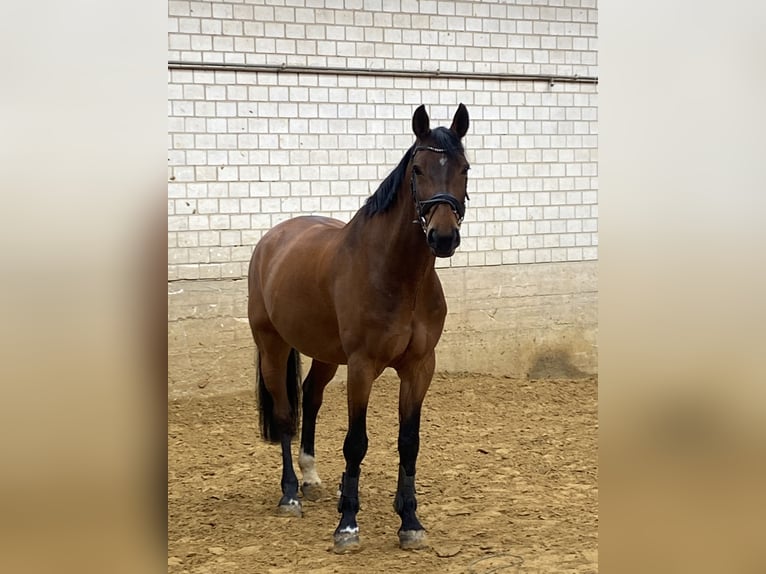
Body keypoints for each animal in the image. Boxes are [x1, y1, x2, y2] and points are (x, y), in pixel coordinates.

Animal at [249, 106, 472, 556]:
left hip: (325, 354)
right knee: (284, 415)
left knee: (312, 398)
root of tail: (271, 240)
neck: (397, 275)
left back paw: (313, 479)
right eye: (418, 169)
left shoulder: (419, 367)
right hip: (272, 346)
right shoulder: (362, 366)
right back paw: (291, 495)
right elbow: (356, 442)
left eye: (465, 169)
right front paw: (348, 526)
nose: (443, 237)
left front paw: (410, 521)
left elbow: (409, 442)